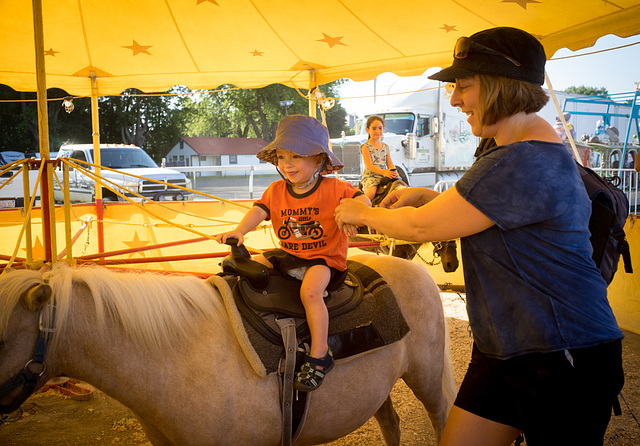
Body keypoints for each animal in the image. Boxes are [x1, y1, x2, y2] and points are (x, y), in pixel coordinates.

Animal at [1, 254, 460, 446]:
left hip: (427, 378)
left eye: (2, 338)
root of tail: (415, 268)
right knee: (391, 424)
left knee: (442, 416)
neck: (177, 356)